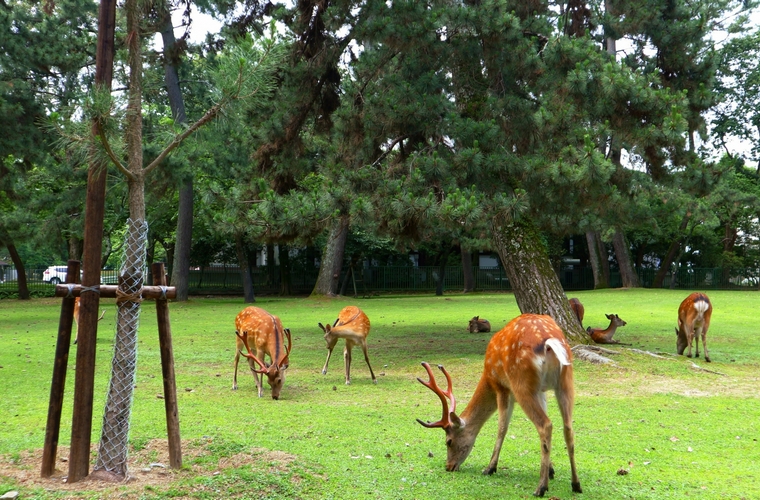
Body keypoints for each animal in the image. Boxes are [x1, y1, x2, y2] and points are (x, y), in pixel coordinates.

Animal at [416, 312, 580, 496]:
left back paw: (541, 487)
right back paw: (576, 484)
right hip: (565, 381)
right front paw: (551, 470)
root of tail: (549, 343)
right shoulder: (541, 391)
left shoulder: (501, 387)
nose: (448, 466)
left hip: (522, 383)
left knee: (545, 425)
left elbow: (502, 428)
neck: (487, 376)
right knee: (567, 427)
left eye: (449, 441)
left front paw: (490, 468)